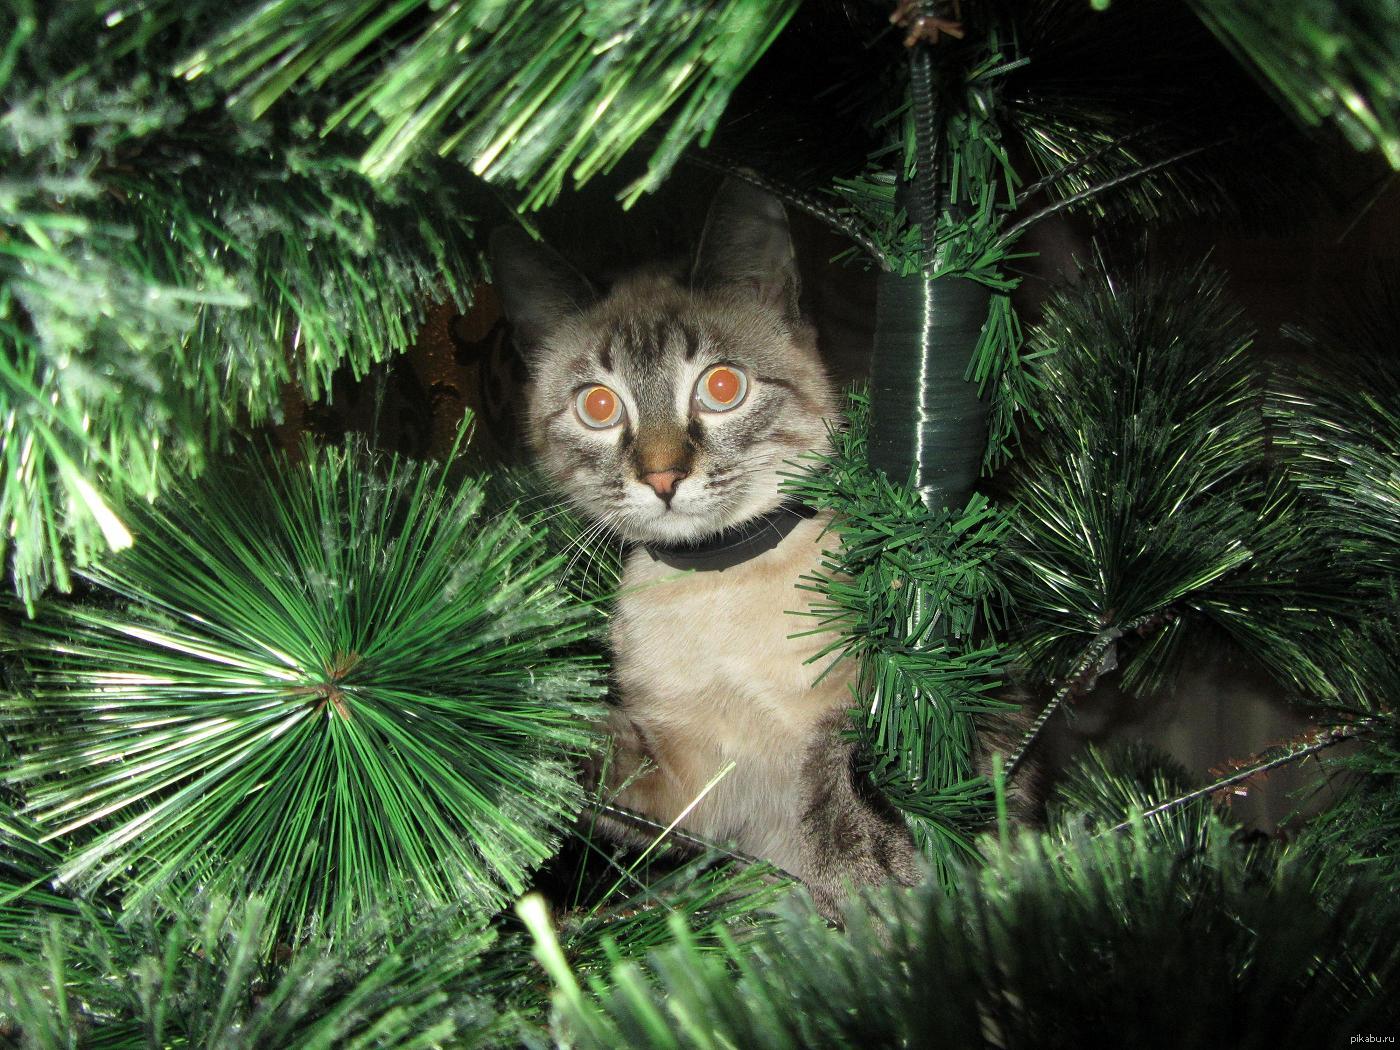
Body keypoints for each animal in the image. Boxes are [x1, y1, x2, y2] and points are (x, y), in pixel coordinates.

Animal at [490, 180, 919, 915]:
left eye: (721, 388)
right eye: (598, 406)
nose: (662, 479)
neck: (715, 583)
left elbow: (838, 758)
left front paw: (869, 876)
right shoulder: (684, 792)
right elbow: (590, 744)